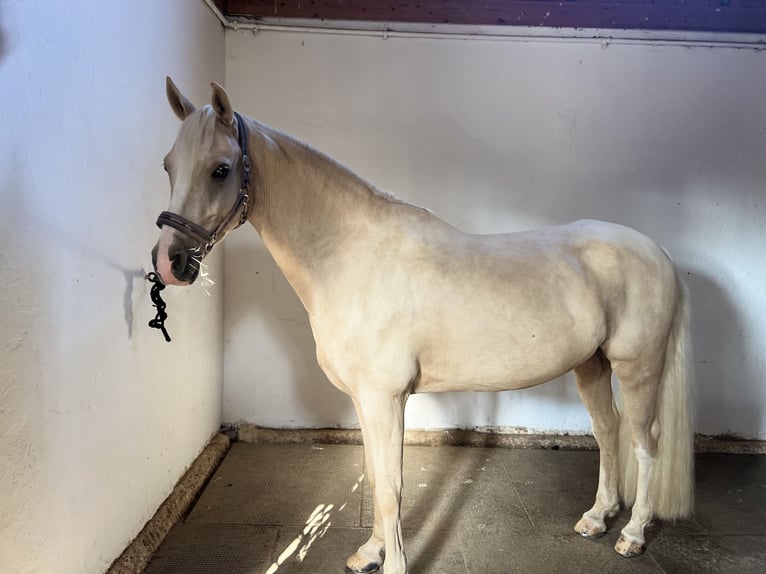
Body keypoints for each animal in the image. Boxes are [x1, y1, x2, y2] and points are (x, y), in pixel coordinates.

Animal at [153, 77, 700, 574]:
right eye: (167, 166)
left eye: (221, 169)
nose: (170, 263)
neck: (352, 257)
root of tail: (657, 251)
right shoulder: (365, 400)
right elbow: (375, 475)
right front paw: (369, 553)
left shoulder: (386, 398)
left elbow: (392, 486)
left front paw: (393, 562)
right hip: (591, 365)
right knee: (608, 431)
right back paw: (597, 518)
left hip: (637, 367)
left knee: (644, 440)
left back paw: (632, 534)